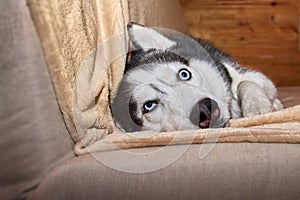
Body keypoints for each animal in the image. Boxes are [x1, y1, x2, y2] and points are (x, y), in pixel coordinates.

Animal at [111, 22, 282, 132]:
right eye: (149, 105)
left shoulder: (249, 76)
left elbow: (244, 83)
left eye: (184, 74)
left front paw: (257, 106)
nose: (206, 110)